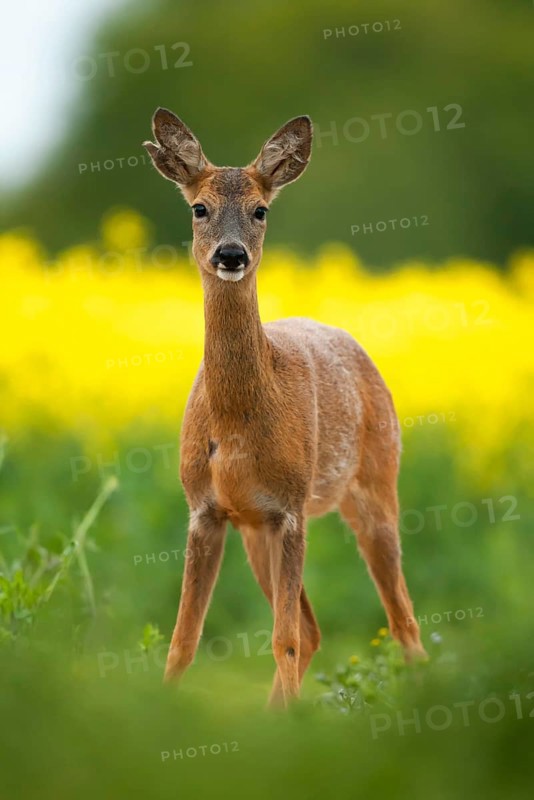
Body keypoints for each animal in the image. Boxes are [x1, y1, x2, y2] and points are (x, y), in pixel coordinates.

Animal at [143, 107, 427, 707]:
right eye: (199, 208)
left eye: (261, 210)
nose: (231, 254)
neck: (235, 423)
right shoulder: (205, 509)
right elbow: (183, 639)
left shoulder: (291, 508)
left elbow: (283, 639)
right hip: (256, 528)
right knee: (317, 629)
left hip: (374, 486)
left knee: (402, 622)